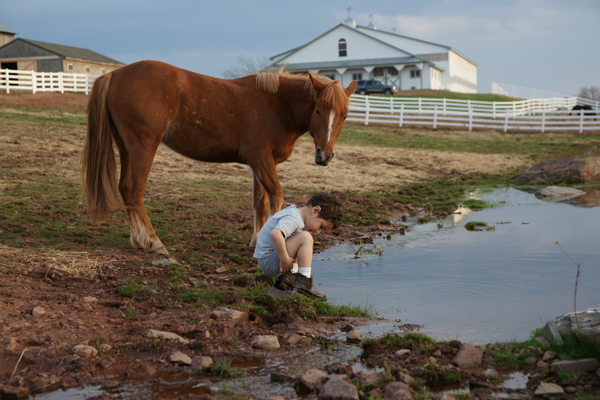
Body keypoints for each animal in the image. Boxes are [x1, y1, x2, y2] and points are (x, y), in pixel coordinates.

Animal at [83, 61, 356, 255]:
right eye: (318, 110)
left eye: (344, 115)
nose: (324, 156)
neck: (276, 103)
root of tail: (114, 75)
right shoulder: (261, 159)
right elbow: (276, 196)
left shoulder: (259, 165)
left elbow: (260, 202)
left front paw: (255, 240)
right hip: (143, 145)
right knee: (133, 188)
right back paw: (153, 242)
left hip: (126, 146)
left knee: (125, 188)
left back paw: (139, 240)